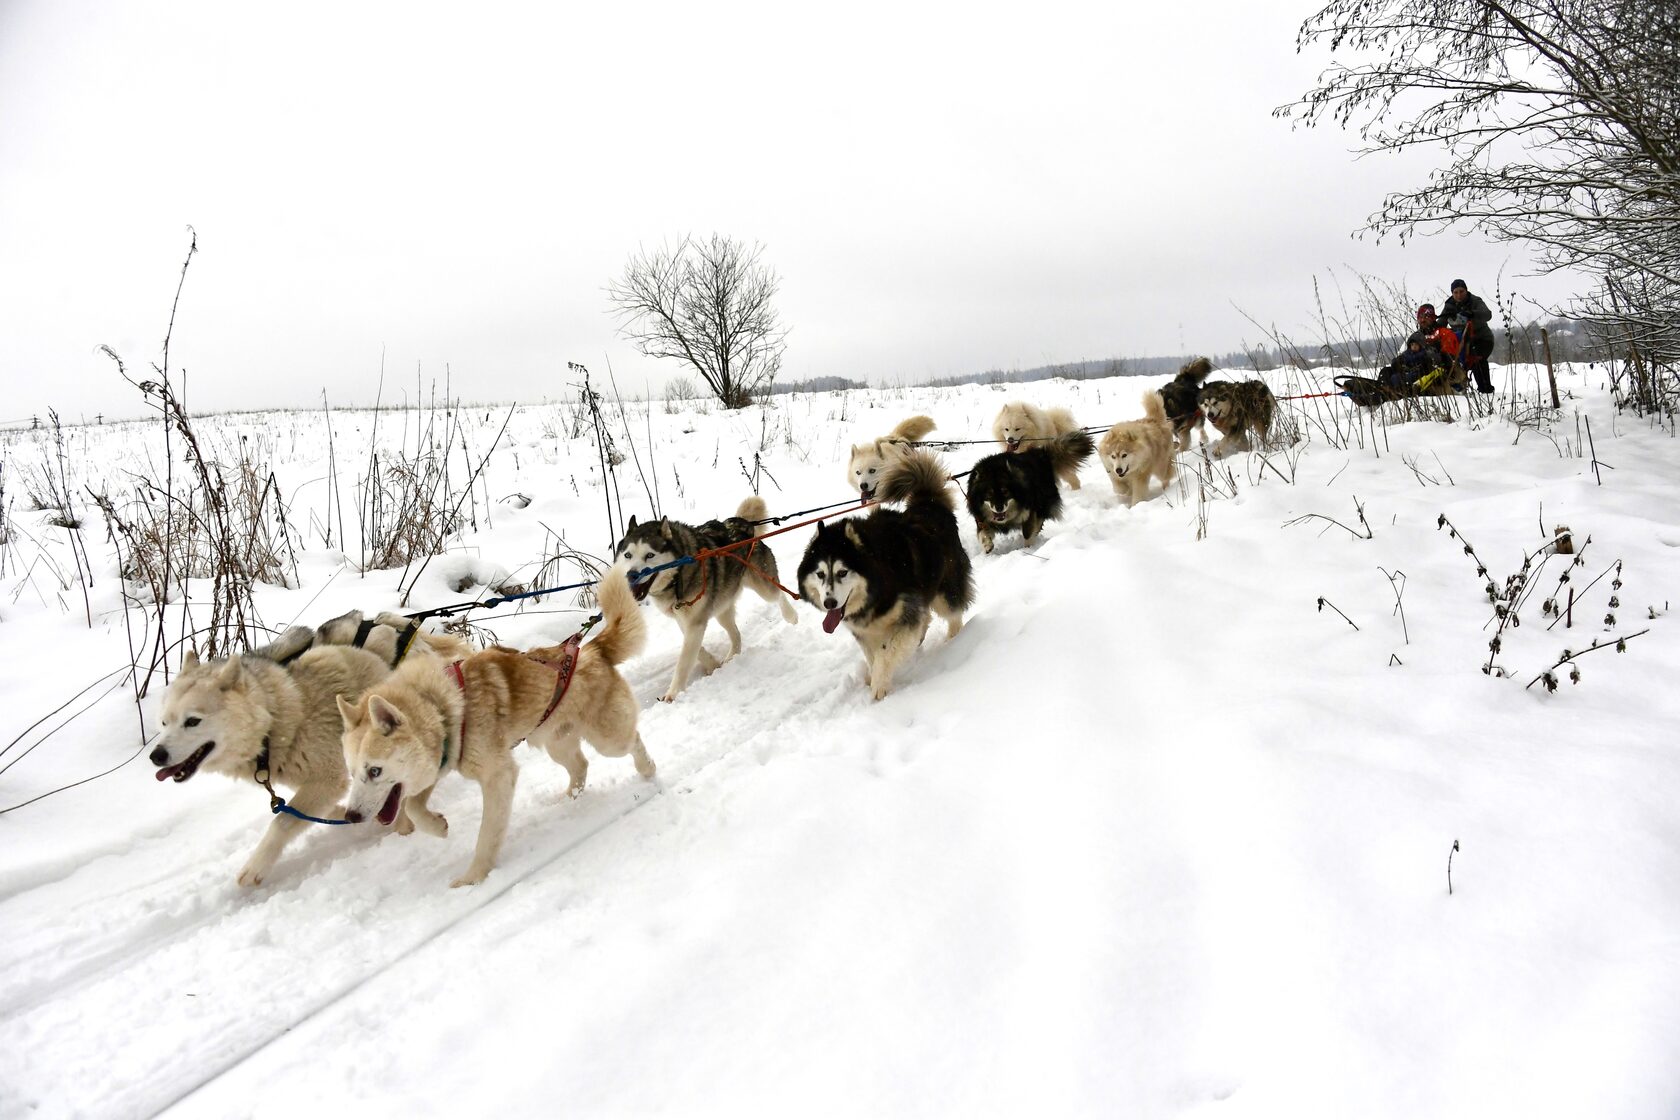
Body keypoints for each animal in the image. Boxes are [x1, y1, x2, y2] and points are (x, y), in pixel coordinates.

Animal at [796, 450, 974, 701]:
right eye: (820, 574)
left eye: (842, 572)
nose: (829, 603)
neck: (878, 586)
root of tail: (928, 504)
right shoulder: (865, 632)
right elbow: (873, 655)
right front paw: (873, 676)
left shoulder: (907, 616)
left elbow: (886, 654)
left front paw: (879, 685)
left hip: (944, 589)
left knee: (953, 612)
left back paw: (954, 639)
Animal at [967, 433, 1095, 554]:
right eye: (989, 494)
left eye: (1005, 492)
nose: (999, 508)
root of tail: (1042, 455)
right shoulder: (981, 516)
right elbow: (983, 532)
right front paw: (987, 545)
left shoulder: (1030, 510)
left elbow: (1028, 532)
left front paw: (1029, 548)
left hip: (1043, 501)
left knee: (1039, 520)